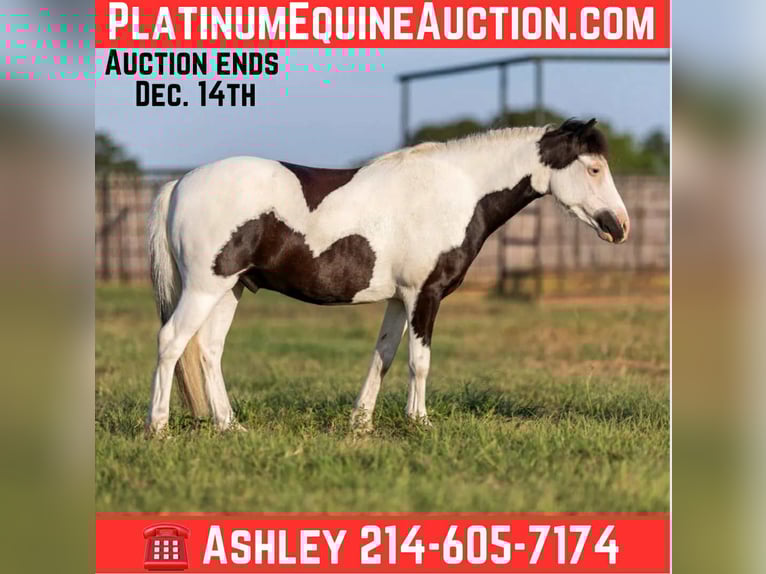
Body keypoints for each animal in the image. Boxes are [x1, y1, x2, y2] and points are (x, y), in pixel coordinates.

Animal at [145, 118, 629, 435]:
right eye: (593, 169)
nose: (620, 226)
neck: (457, 190)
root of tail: (179, 183)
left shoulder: (399, 299)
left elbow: (384, 356)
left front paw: (361, 423)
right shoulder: (423, 295)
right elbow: (419, 361)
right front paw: (420, 422)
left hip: (231, 289)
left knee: (209, 350)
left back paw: (229, 426)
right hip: (205, 287)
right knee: (171, 342)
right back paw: (158, 427)